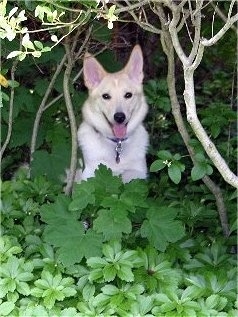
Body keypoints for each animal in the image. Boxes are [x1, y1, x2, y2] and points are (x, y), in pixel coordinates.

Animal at [77, 45, 149, 183]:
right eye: (106, 96)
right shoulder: (88, 174)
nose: (119, 117)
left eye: (128, 95)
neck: (117, 144)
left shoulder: (138, 173)